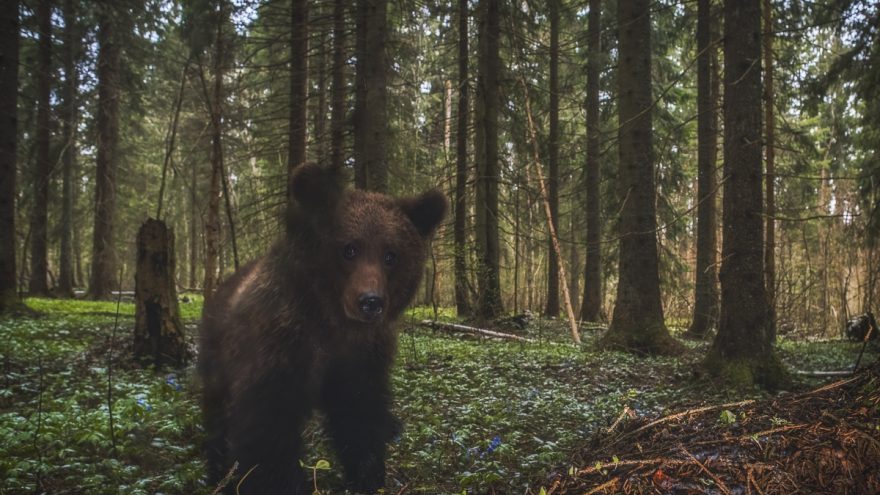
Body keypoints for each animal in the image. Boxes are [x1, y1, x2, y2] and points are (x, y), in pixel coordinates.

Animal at [198, 162, 446, 494]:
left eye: (391, 255)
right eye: (349, 248)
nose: (371, 302)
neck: (331, 321)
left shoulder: (360, 358)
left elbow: (359, 417)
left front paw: (367, 476)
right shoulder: (278, 348)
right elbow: (268, 431)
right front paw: (280, 482)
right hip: (218, 357)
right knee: (218, 418)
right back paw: (217, 471)